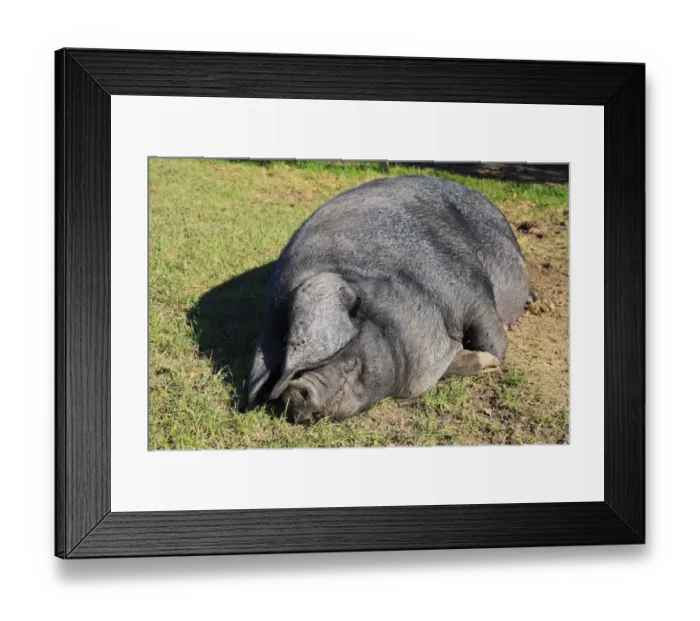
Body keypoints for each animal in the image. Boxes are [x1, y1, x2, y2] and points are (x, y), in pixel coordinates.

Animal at [246, 175, 532, 423]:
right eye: (283, 346)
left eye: (355, 323)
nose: (293, 390)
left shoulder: (469, 287)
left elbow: (492, 340)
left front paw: (493, 360)